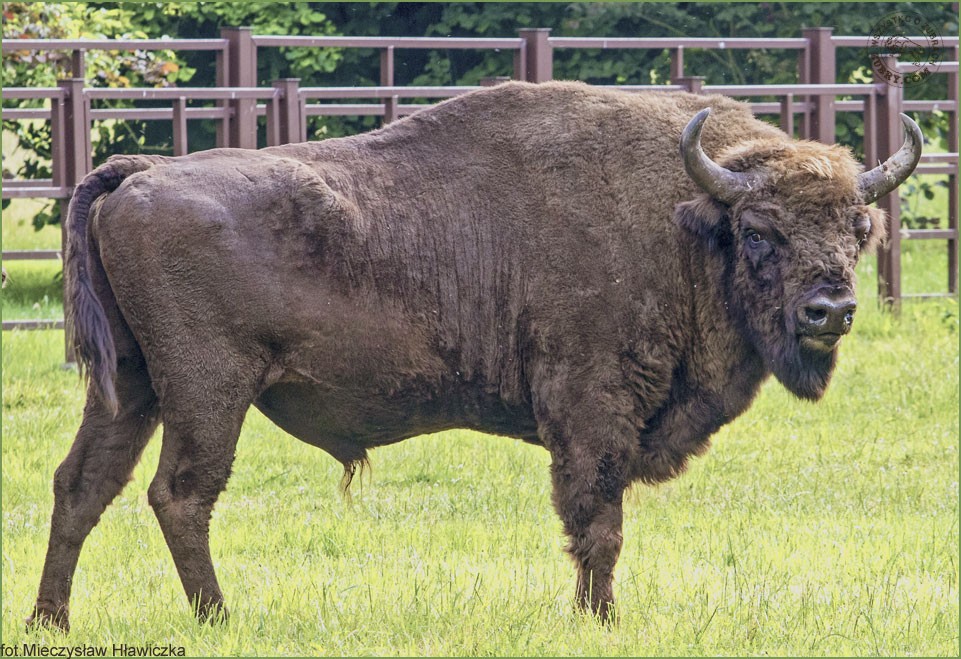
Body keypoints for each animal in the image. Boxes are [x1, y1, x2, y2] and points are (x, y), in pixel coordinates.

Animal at [28, 81, 916, 628]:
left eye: (857, 227)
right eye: (760, 231)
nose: (830, 310)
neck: (686, 218)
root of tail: (141, 175)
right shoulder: (591, 411)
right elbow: (597, 520)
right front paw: (599, 619)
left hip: (131, 386)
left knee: (81, 485)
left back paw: (51, 621)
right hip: (207, 389)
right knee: (180, 494)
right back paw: (221, 618)